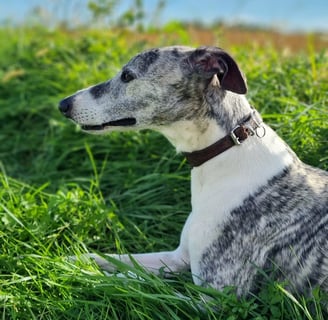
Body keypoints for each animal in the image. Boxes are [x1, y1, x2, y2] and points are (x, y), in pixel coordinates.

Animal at [59, 46, 328, 296]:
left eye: (127, 76)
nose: (63, 104)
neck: (226, 150)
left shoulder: (214, 298)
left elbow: (125, 283)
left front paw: (71, 277)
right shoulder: (178, 257)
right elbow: (112, 260)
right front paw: (66, 261)